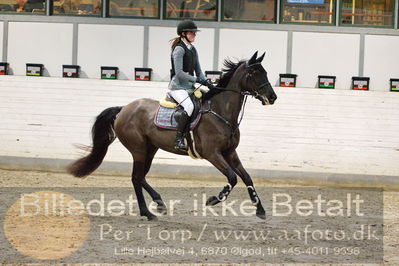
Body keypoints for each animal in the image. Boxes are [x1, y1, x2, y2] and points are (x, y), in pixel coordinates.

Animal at [67, 51, 278, 220]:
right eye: (255, 73)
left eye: (265, 72)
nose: (273, 97)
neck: (221, 112)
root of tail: (124, 109)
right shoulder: (212, 154)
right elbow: (233, 178)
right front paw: (213, 200)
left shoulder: (230, 152)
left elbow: (247, 177)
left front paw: (259, 209)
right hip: (138, 149)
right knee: (135, 178)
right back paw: (148, 213)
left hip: (150, 149)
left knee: (141, 177)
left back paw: (158, 204)